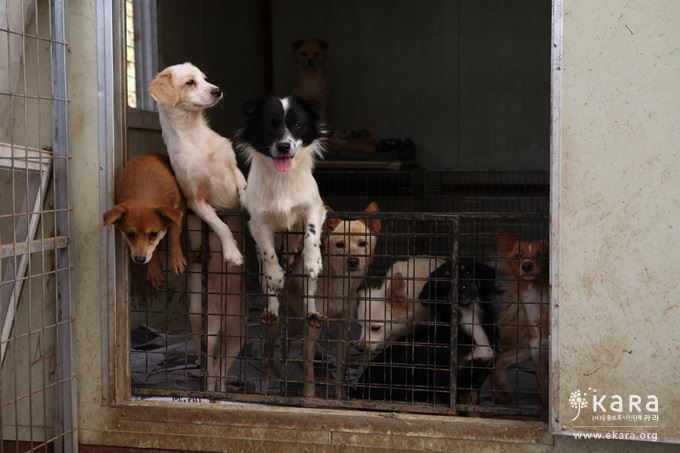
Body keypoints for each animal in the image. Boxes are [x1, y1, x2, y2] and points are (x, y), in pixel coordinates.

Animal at [102, 153, 186, 286]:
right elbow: (153, 251)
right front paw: (154, 270)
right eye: (130, 234)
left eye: (153, 234)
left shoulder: (180, 207)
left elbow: (174, 232)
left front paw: (176, 258)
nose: (140, 259)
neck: (143, 193)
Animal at [151, 63, 247, 392]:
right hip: (202, 324)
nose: (217, 91)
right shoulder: (197, 202)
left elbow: (245, 192)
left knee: (221, 369)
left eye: (205, 78)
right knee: (209, 366)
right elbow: (220, 225)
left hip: (238, 332)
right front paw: (232, 253)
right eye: (190, 82)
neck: (194, 134)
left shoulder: (235, 172)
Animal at [235, 95, 328, 326]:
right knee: (270, 291)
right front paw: (277, 275)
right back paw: (271, 312)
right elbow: (269, 254)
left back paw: (312, 313)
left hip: (304, 278)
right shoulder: (258, 223)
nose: (284, 146)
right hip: (261, 274)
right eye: (270, 125)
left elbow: (311, 234)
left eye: (297, 125)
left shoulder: (315, 207)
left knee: (308, 293)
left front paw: (313, 260)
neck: (282, 177)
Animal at [492, 231, 548, 408]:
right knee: (500, 358)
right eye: (518, 255)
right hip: (527, 344)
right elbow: (544, 394)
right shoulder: (538, 354)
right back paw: (501, 392)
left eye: (542, 254)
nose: (527, 265)